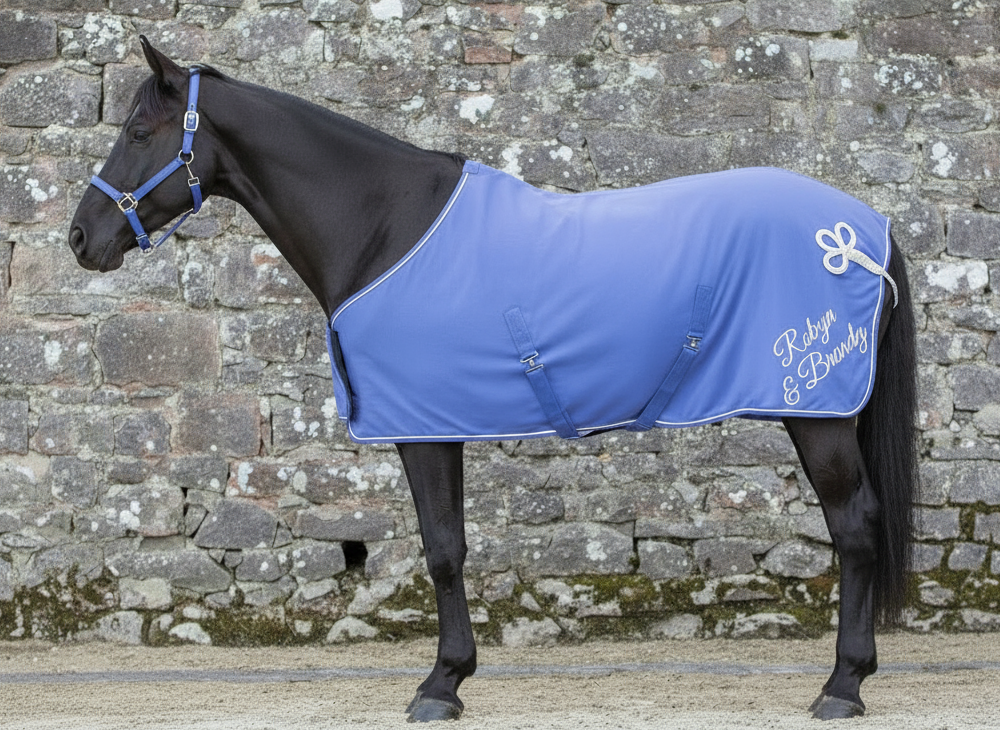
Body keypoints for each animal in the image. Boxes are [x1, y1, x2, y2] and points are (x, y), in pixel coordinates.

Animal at [68, 38, 917, 723]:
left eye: (137, 132)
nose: (81, 238)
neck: (384, 228)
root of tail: (862, 230)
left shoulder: (423, 428)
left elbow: (443, 549)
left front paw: (441, 685)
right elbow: (450, 546)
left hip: (817, 415)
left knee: (855, 527)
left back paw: (842, 687)